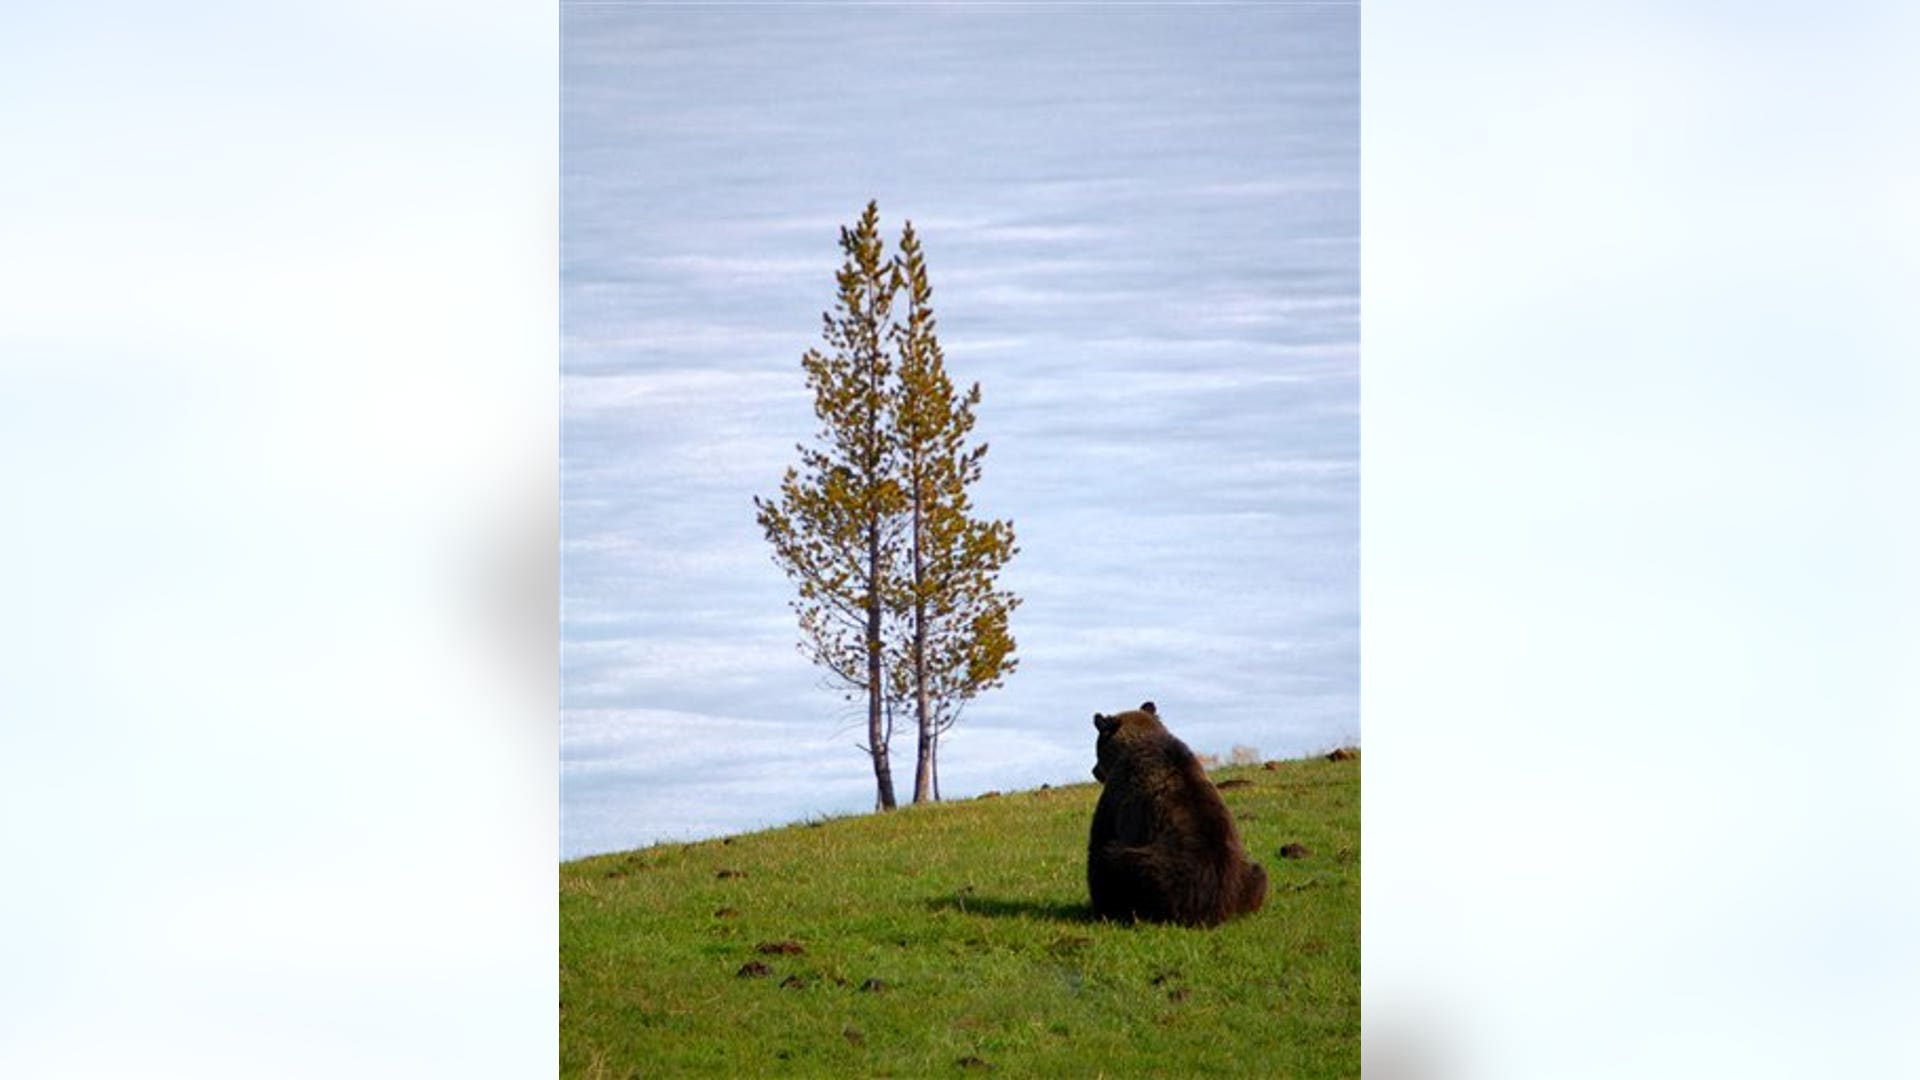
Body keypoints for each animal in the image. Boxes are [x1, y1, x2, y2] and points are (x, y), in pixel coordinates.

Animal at [1087, 702, 1268, 927]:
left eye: (1097, 746)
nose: (1094, 771)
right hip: (1244, 875)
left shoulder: (1116, 795)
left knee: (1113, 860)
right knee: (1259, 875)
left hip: (1152, 874)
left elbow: (1099, 842)